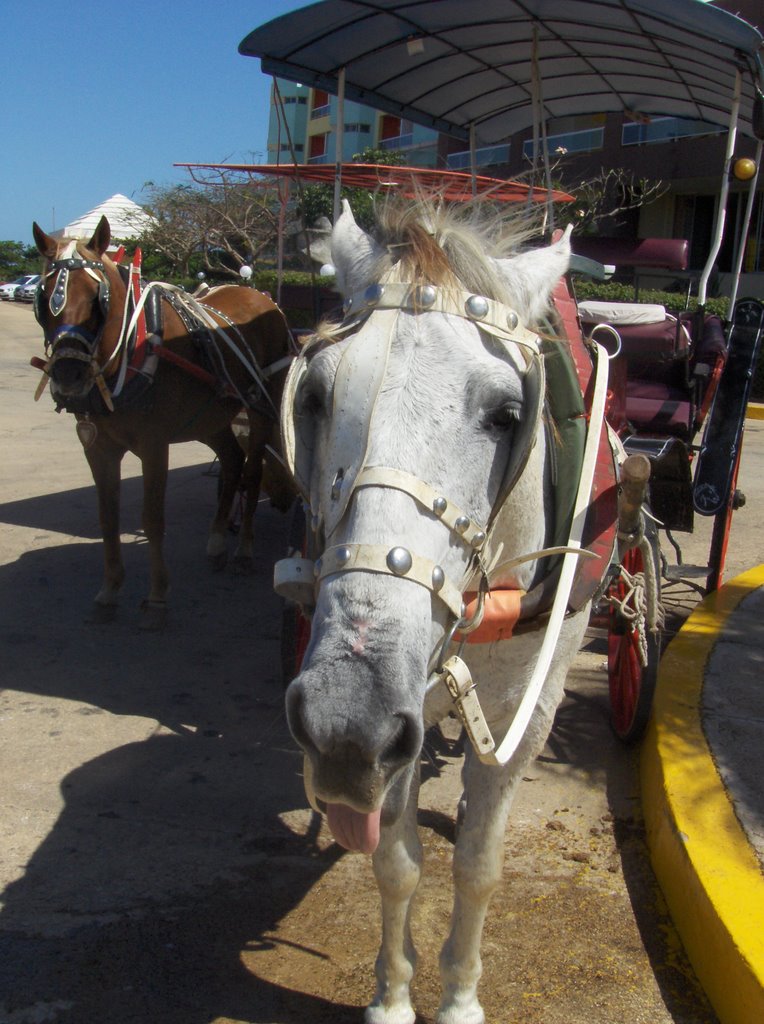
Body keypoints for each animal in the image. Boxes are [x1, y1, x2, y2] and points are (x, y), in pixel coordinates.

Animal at [31, 218, 290, 622]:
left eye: (97, 299)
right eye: (43, 301)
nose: (68, 375)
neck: (129, 349)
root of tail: (264, 299)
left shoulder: (154, 446)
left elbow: (152, 519)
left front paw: (156, 598)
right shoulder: (98, 448)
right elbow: (107, 517)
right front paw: (110, 589)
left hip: (262, 408)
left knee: (251, 473)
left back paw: (243, 550)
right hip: (211, 417)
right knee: (232, 460)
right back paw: (218, 540)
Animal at [276, 197, 598, 1024]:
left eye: (508, 413)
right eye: (314, 396)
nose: (342, 719)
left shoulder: (529, 710)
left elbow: (478, 867)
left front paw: (458, 997)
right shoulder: (402, 713)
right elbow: (396, 863)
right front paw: (393, 994)